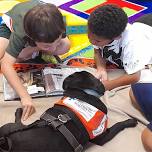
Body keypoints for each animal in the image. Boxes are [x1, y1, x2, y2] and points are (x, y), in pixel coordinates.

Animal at [0, 71, 137, 152]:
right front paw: (131, 121)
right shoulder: (101, 135)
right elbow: (118, 125)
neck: (82, 92)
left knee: (19, 123)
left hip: (10, 127)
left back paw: (19, 111)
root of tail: (6, 142)